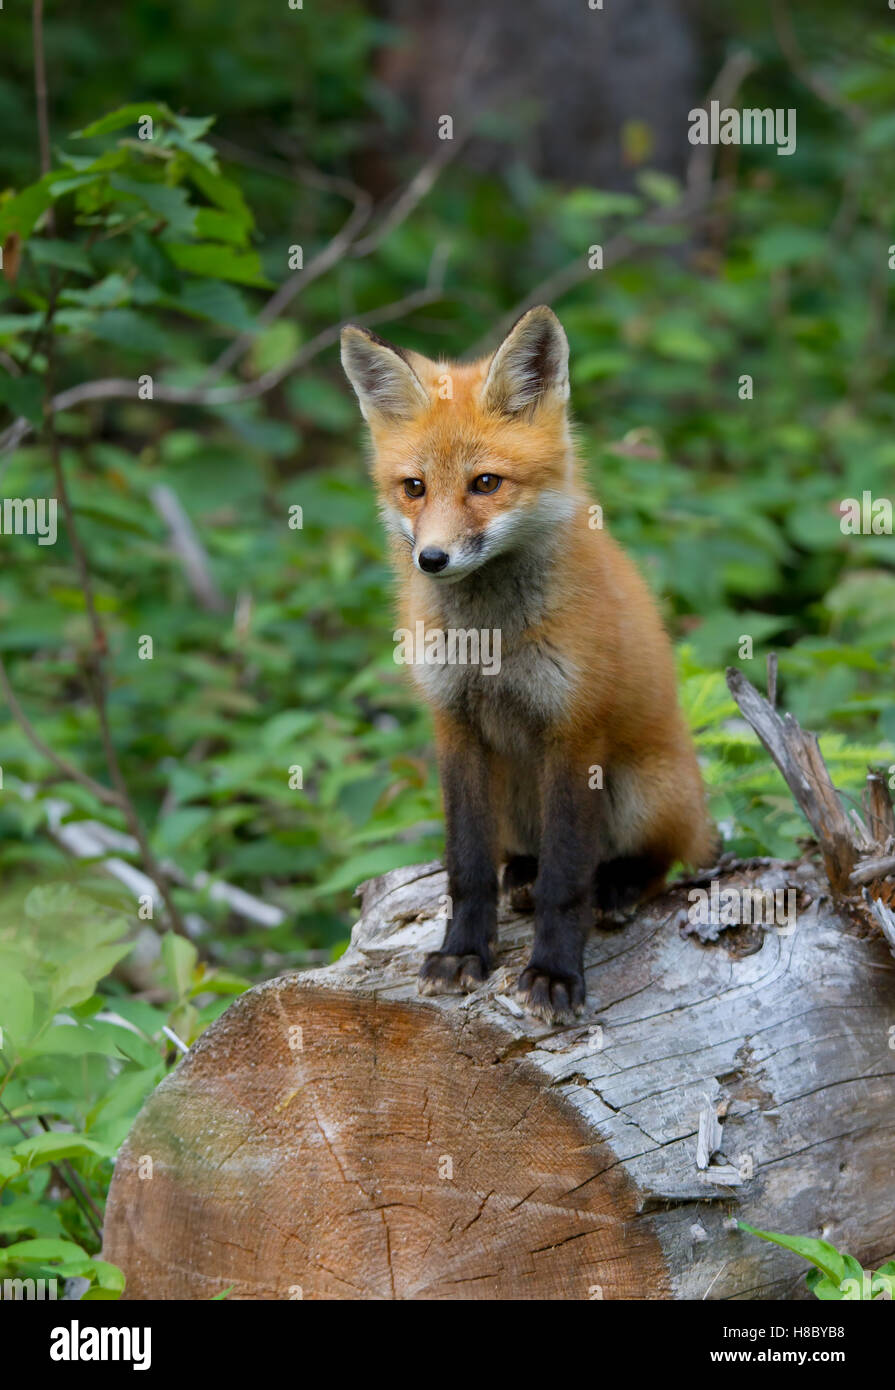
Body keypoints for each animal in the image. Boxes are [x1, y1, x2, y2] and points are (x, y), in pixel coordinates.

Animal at [340, 305, 716, 1024]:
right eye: (414, 488)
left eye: (485, 483)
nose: (431, 559)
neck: (491, 645)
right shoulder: (453, 727)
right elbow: (464, 867)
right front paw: (462, 953)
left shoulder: (574, 733)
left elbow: (566, 882)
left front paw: (554, 974)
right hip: (512, 789)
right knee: (517, 858)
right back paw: (519, 875)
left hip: (642, 791)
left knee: (662, 859)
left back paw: (618, 885)